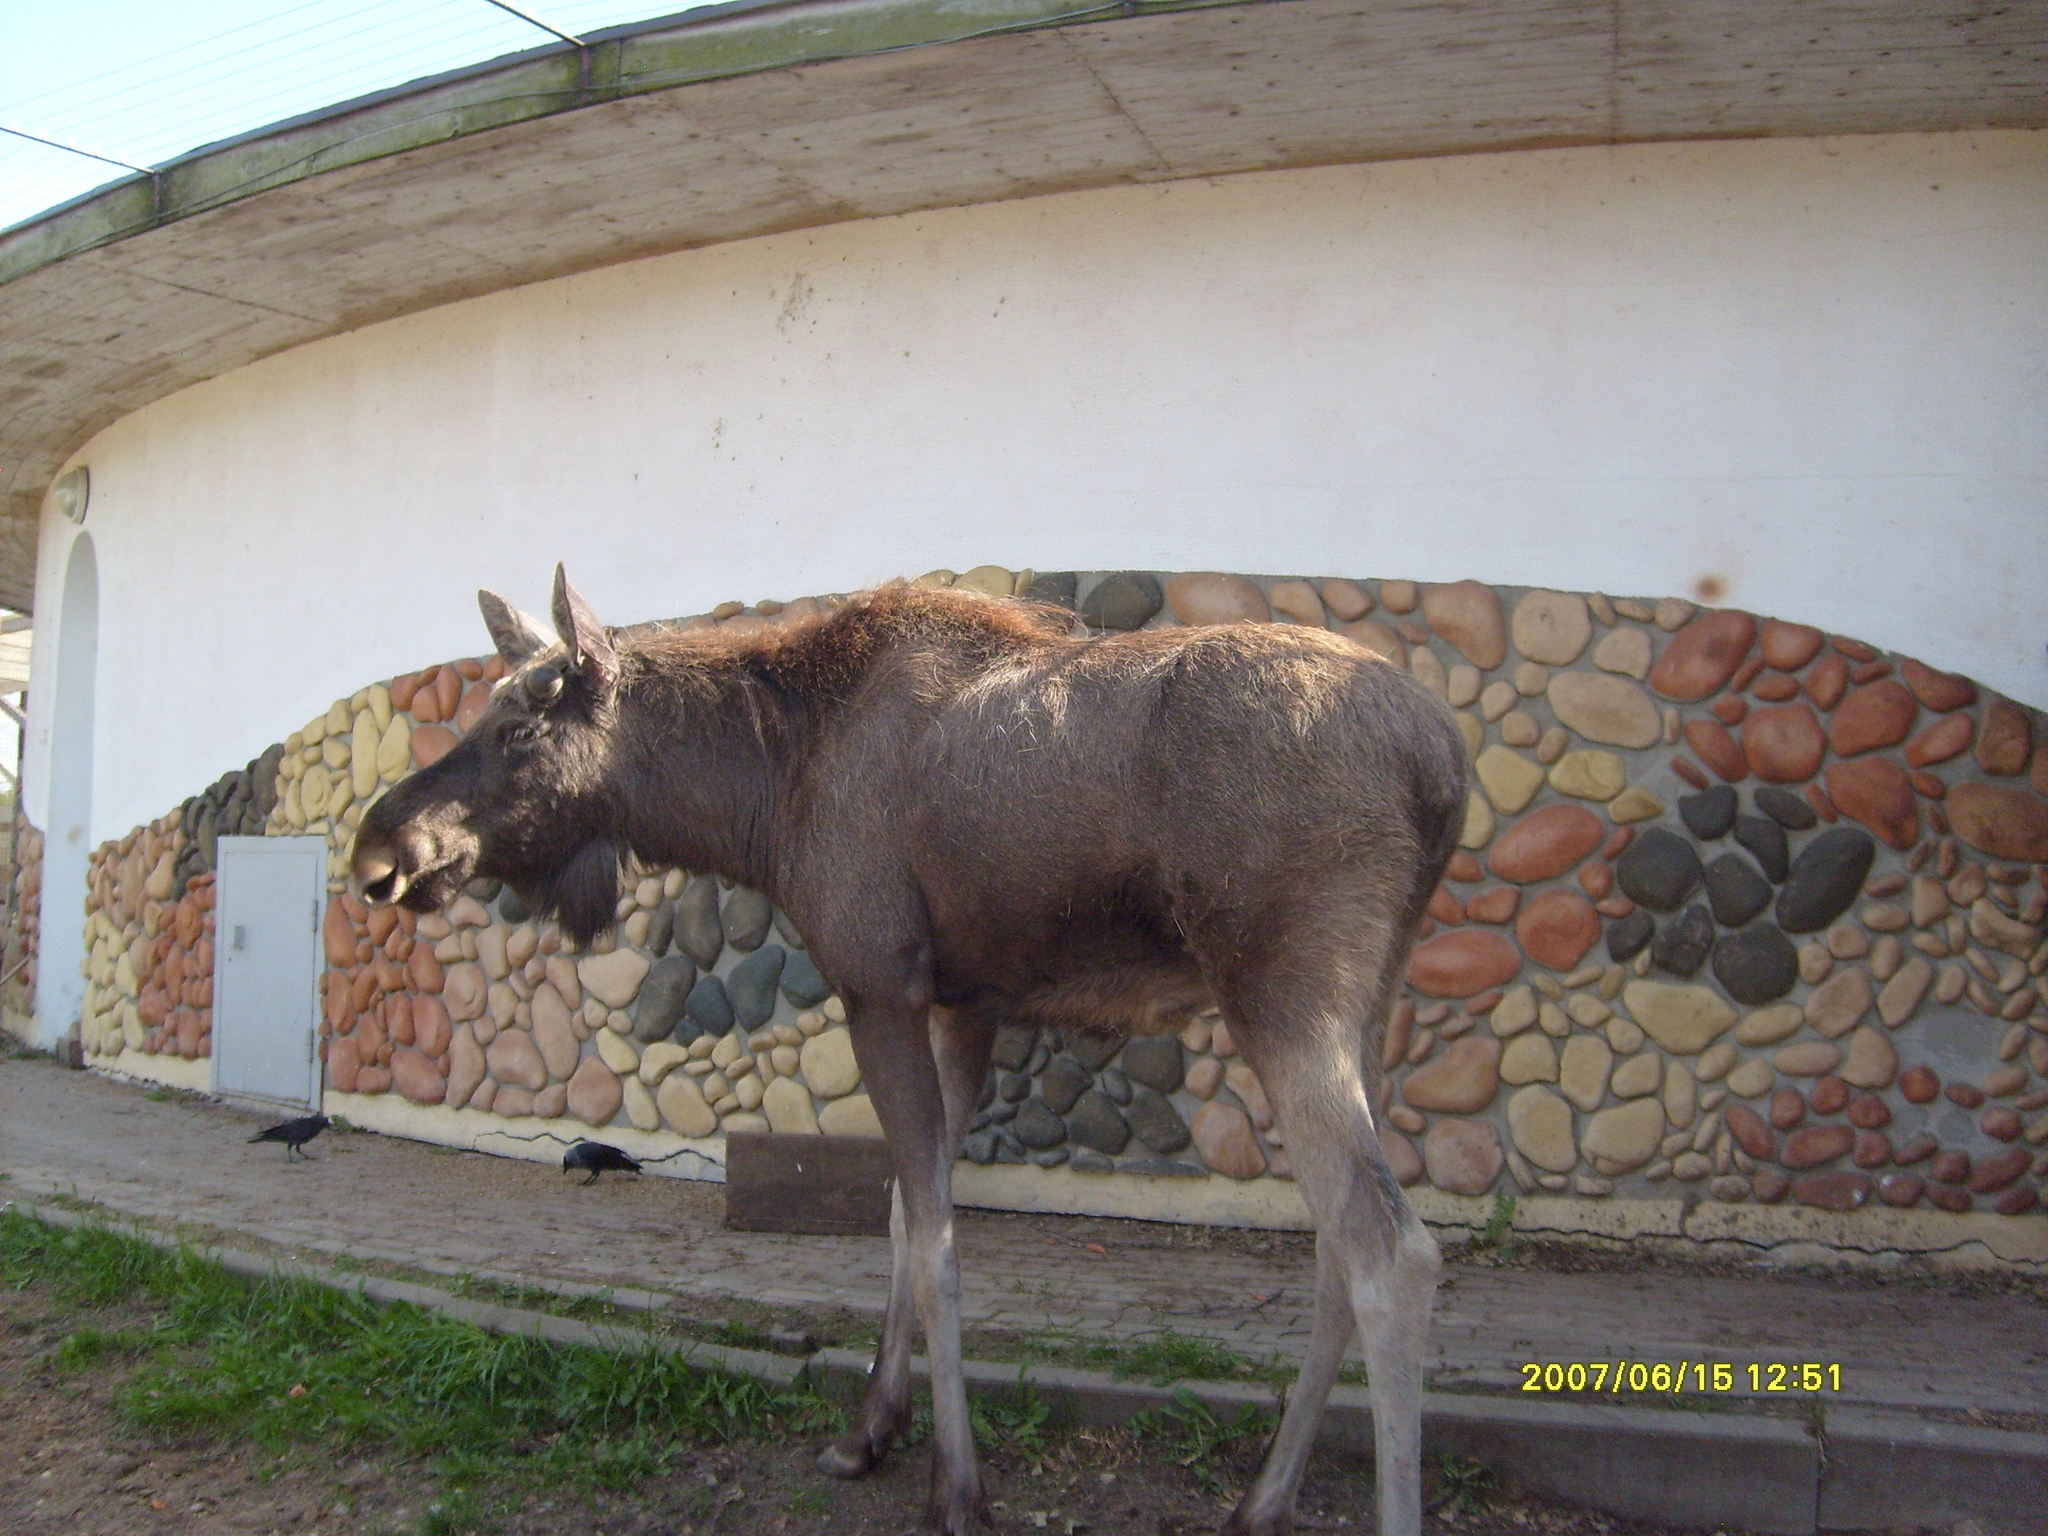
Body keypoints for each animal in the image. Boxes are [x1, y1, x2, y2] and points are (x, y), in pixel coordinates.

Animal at [356, 573, 1474, 1536]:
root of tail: (1447, 769)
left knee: (1391, 1248)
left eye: (514, 730)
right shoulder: (960, 1003)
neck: (759, 797)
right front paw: (870, 1431)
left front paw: (956, 1487)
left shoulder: (879, 982)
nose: (380, 853)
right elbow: (902, 1210)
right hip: (1365, 1000)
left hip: (1283, 991)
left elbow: (934, 1243)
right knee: (1339, 1240)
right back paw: (1261, 1500)